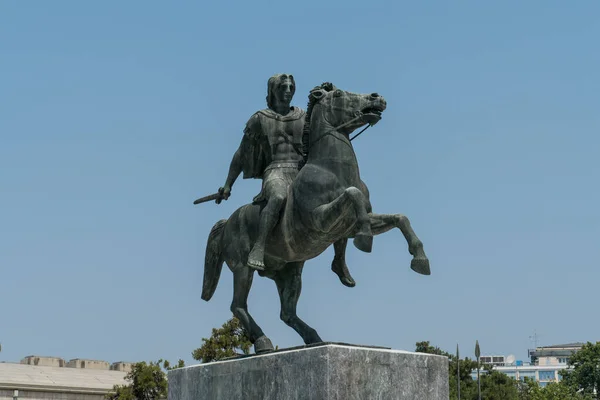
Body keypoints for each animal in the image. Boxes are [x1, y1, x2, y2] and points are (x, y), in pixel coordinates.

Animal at [203, 82, 432, 354]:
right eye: (339, 94)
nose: (377, 97)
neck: (333, 170)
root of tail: (227, 222)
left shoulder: (351, 225)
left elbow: (399, 218)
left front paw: (420, 259)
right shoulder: (318, 221)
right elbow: (353, 195)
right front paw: (365, 240)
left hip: (290, 272)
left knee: (287, 313)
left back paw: (314, 336)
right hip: (242, 268)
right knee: (238, 306)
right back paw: (263, 342)